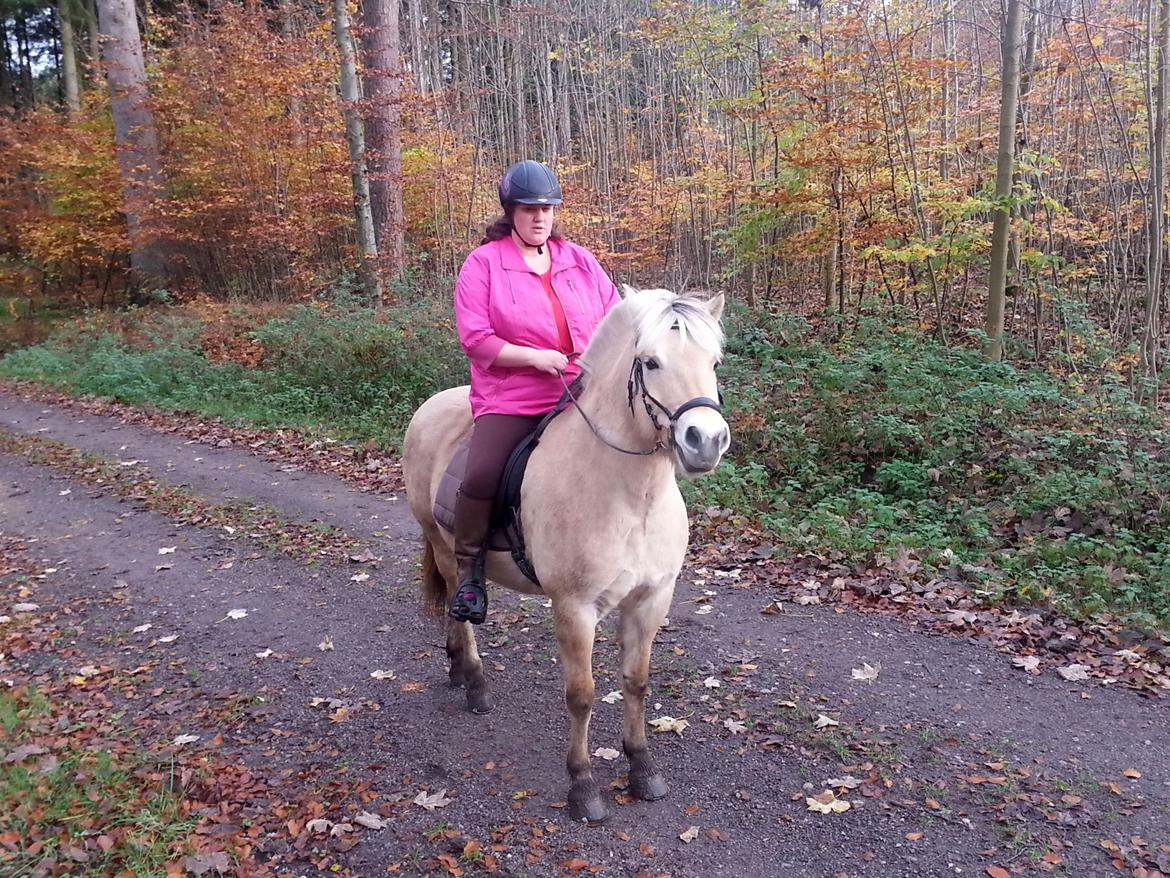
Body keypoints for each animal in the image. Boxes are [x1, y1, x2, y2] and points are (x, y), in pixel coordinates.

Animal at [402, 286, 730, 824]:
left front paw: (642, 769)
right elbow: (581, 696)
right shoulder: (575, 608)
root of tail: (432, 405)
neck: (630, 497)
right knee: (458, 596)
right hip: (444, 544)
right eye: (650, 361)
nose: (705, 441)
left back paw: (456, 668)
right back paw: (474, 681)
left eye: (714, 361)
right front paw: (582, 787)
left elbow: (636, 683)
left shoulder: (651, 600)